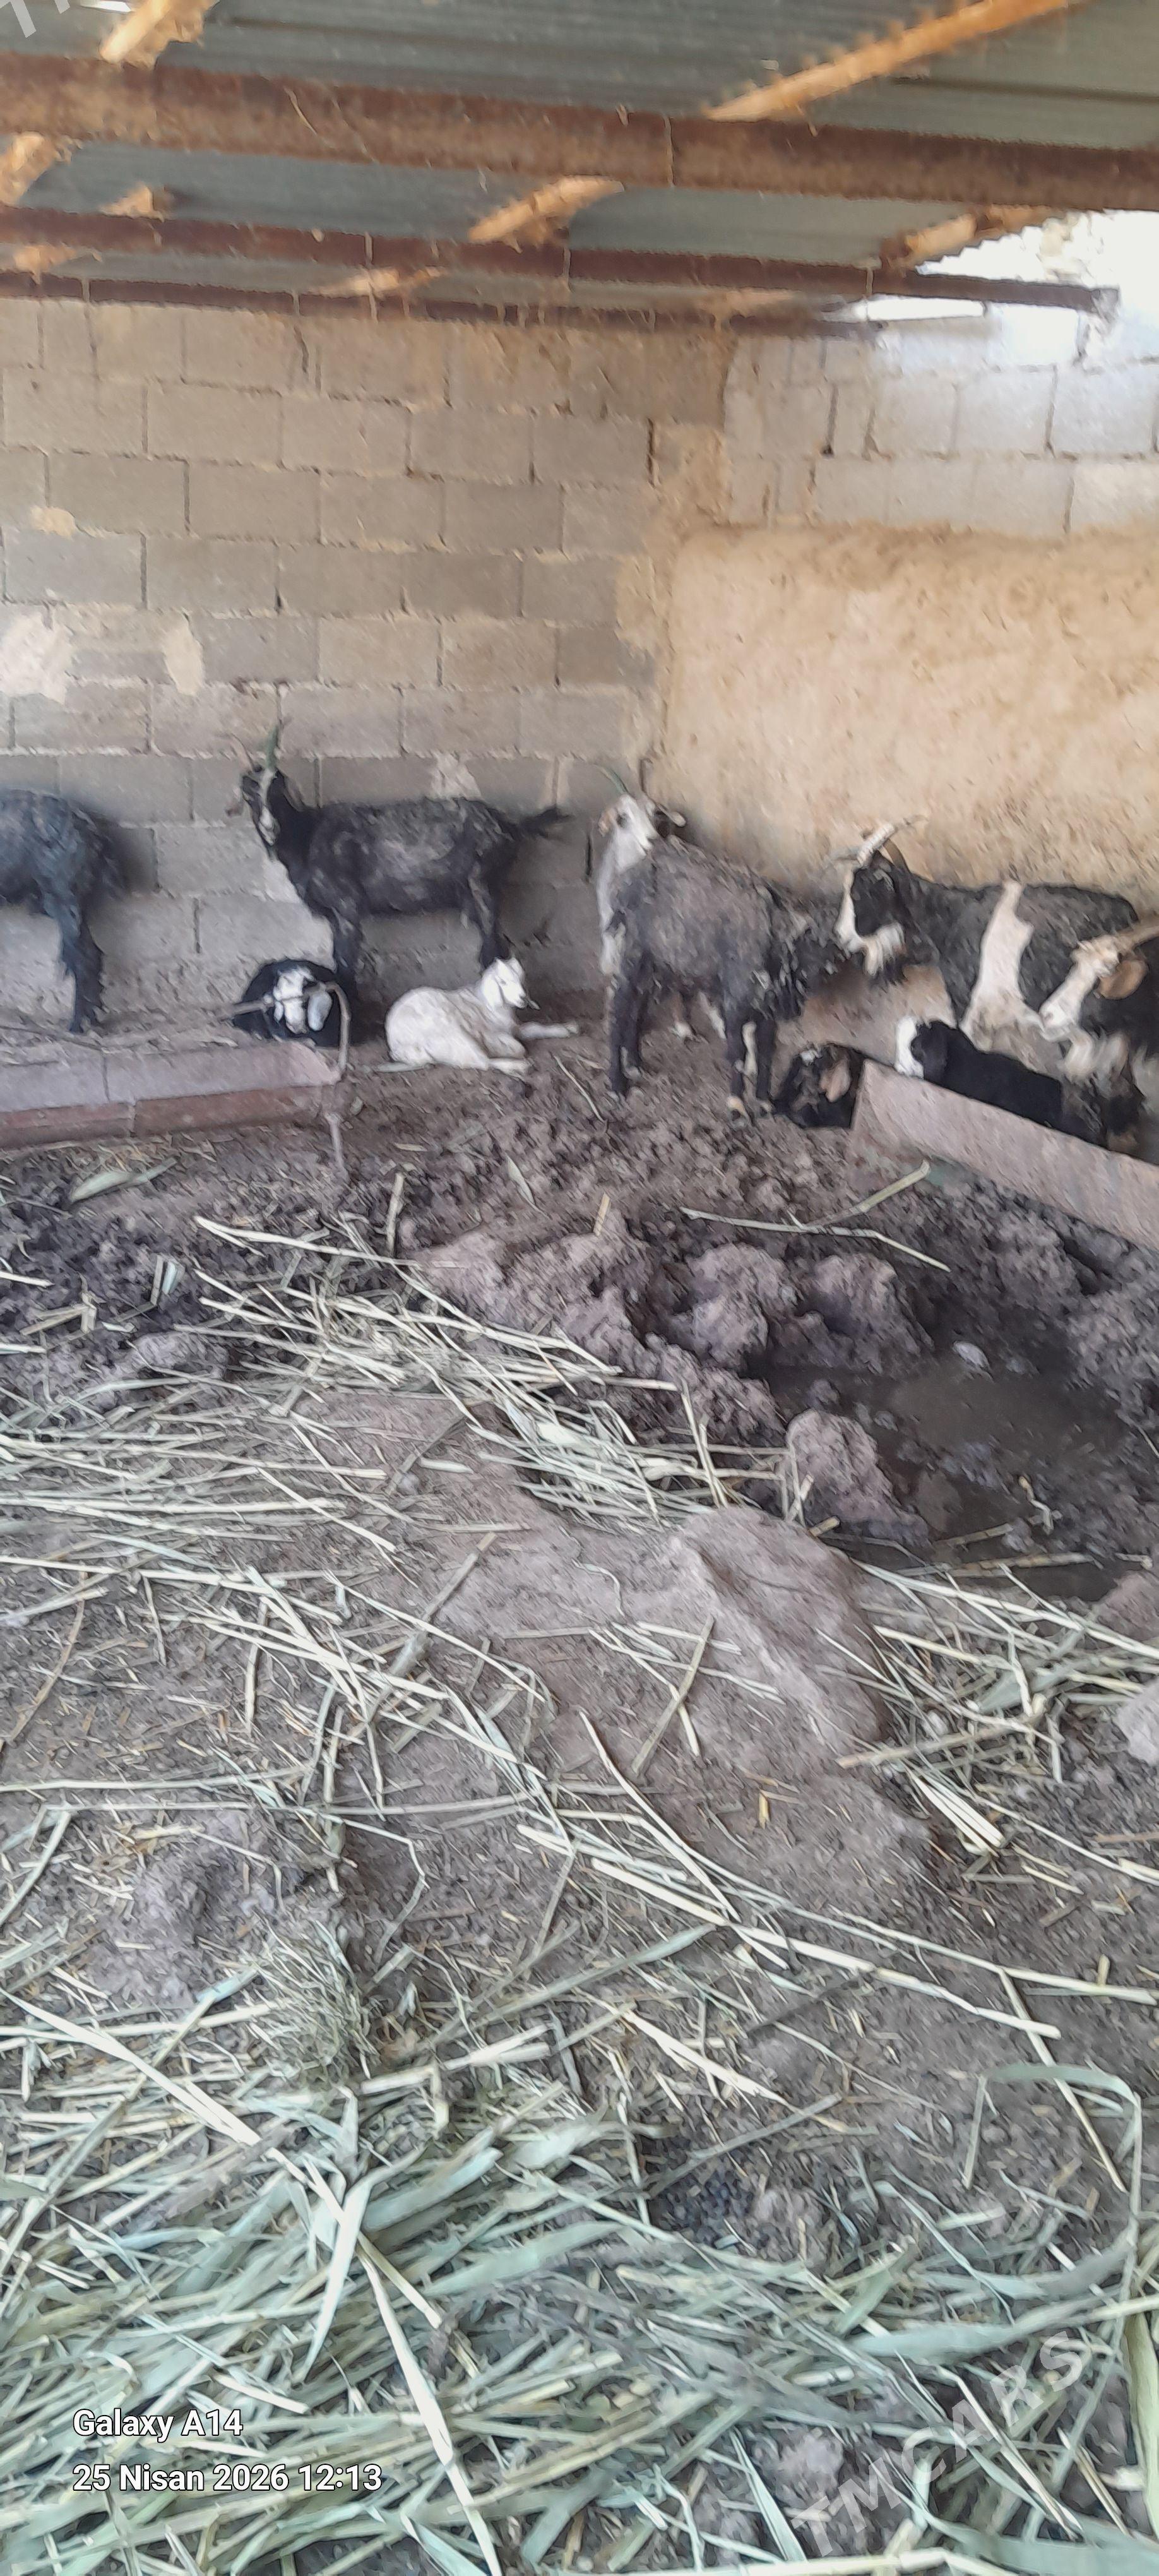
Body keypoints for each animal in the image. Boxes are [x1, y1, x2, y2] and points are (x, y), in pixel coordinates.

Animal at [240, 738, 563, 992]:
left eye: (278, 794)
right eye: (250, 798)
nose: (269, 828)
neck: (307, 836)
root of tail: (509, 825)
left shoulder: (348, 904)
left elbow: (345, 962)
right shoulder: (335, 914)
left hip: (482, 885)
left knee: (494, 949)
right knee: (497, 948)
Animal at [386, 956, 577, 1075]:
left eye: (522, 980)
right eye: (503, 982)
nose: (523, 998)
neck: (488, 1005)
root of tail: (396, 1046)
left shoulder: (514, 1027)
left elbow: (534, 1028)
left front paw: (567, 1028)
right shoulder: (489, 1031)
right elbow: (517, 1046)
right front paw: (500, 1047)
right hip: (452, 1035)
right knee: (481, 1061)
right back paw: (518, 1066)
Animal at [604, 824, 831, 1110]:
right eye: (809, 941)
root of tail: (633, 874)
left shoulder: (768, 1009)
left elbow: (767, 1050)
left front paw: (764, 1101)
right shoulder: (735, 1002)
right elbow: (738, 1052)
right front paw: (737, 1105)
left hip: (659, 965)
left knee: (637, 1009)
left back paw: (634, 1063)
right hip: (633, 956)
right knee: (619, 1010)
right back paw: (617, 1084)